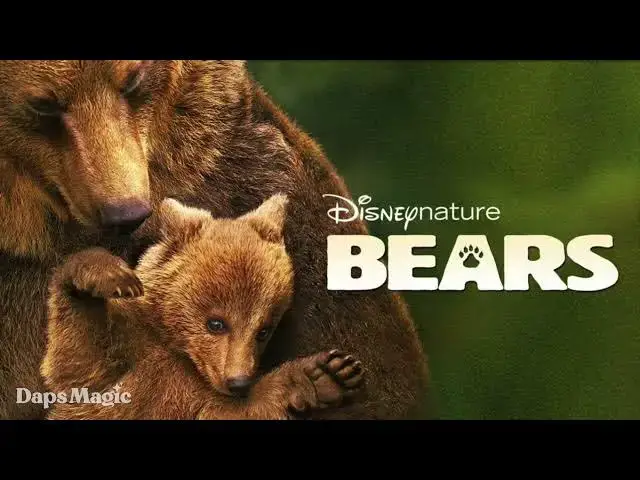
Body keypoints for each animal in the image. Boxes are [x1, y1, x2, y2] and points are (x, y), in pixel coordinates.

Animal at [41, 195, 364, 420]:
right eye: (216, 323)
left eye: (263, 330)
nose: (238, 381)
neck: (179, 351)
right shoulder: (123, 359)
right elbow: (78, 361)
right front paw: (110, 276)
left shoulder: (198, 396)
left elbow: (231, 411)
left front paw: (327, 373)